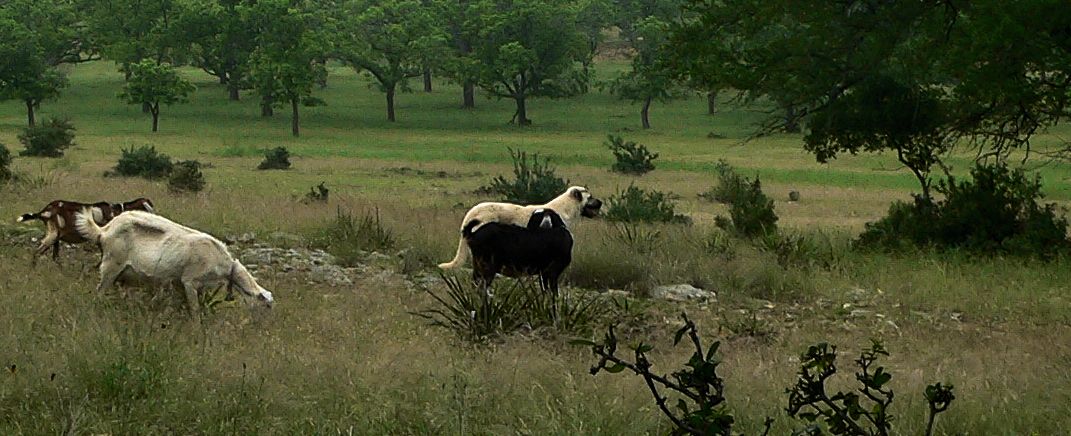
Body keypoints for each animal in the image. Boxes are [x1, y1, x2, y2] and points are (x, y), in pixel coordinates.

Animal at [15, 198, 155, 262]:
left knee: (55, 257)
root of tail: (44, 211)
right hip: (53, 234)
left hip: (56, 236)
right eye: (148, 209)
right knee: (37, 253)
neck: (118, 211)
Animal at [76, 208, 274, 321]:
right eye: (267, 306)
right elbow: (194, 309)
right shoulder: (190, 280)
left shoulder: (182, 283)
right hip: (112, 265)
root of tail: (104, 229)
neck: (226, 265)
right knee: (99, 291)